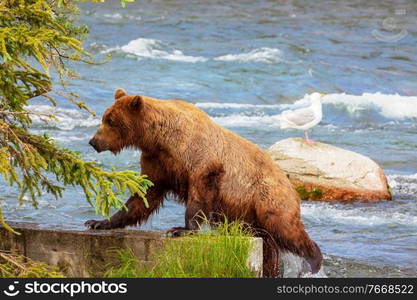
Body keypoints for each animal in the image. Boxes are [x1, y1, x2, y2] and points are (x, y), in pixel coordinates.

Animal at [87, 89, 322, 276]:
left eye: (110, 121)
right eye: (104, 118)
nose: (93, 141)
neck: (159, 138)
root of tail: (291, 184)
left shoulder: (200, 159)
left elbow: (198, 195)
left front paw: (181, 229)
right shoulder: (157, 162)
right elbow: (143, 197)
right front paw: (100, 222)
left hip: (267, 197)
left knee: (285, 227)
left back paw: (313, 261)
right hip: (250, 217)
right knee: (267, 249)